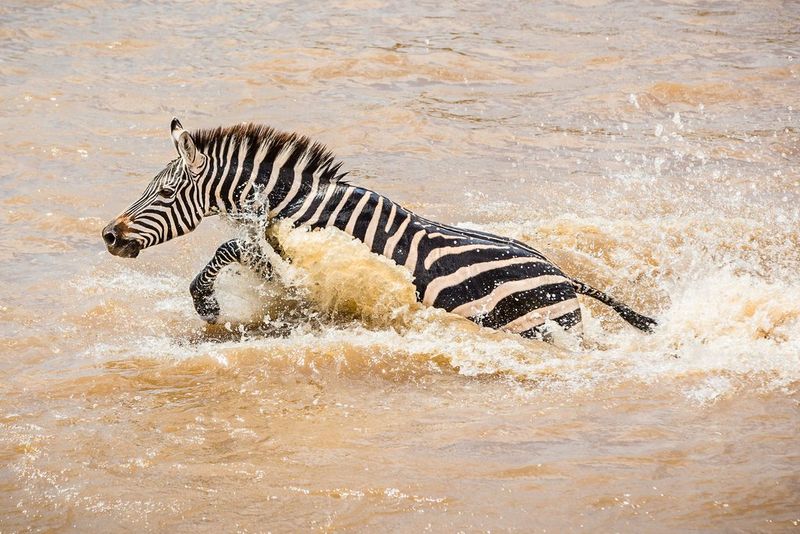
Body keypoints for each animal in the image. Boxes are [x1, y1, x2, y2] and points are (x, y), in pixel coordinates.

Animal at [102, 118, 657, 339]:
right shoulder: (290, 256)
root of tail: (566, 276)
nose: (108, 235)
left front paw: (208, 305)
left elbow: (227, 247)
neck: (301, 200)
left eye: (165, 194)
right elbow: (240, 249)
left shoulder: (310, 253)